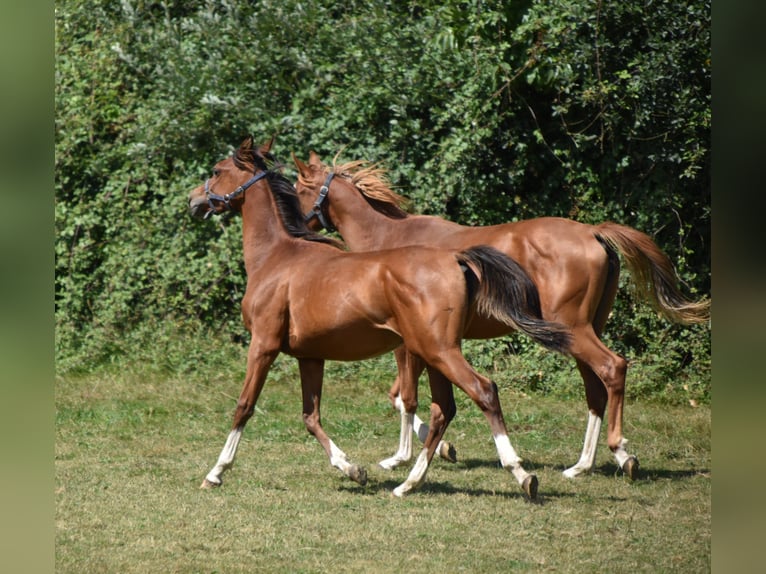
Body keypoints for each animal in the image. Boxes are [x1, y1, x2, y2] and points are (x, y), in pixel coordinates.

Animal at [186, 137, 572, 498]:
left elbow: (244, 406)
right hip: (434, 353)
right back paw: (408, 483)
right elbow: (311, 417)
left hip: (438, 351)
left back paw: (521, 475)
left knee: (484, 391)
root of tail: (455, 258)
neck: (277, 257)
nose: (193, 201)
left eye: (217, 171)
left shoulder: (263, 346)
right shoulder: (310, 356)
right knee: (443, 409)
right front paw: (352, 469)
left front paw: (215, 473)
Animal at [296, 153, 712, 482]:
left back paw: (619, 451)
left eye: (298, 188)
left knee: (613, 368)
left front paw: (403, 457)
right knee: (596, 388)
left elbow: (406, 397)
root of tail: (594, 232)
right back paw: (583, 465)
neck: (387, 240)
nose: (297, 229)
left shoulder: (408, 346)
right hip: (583, 331)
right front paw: (439, 448)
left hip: (573, 329)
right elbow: (402, 396)